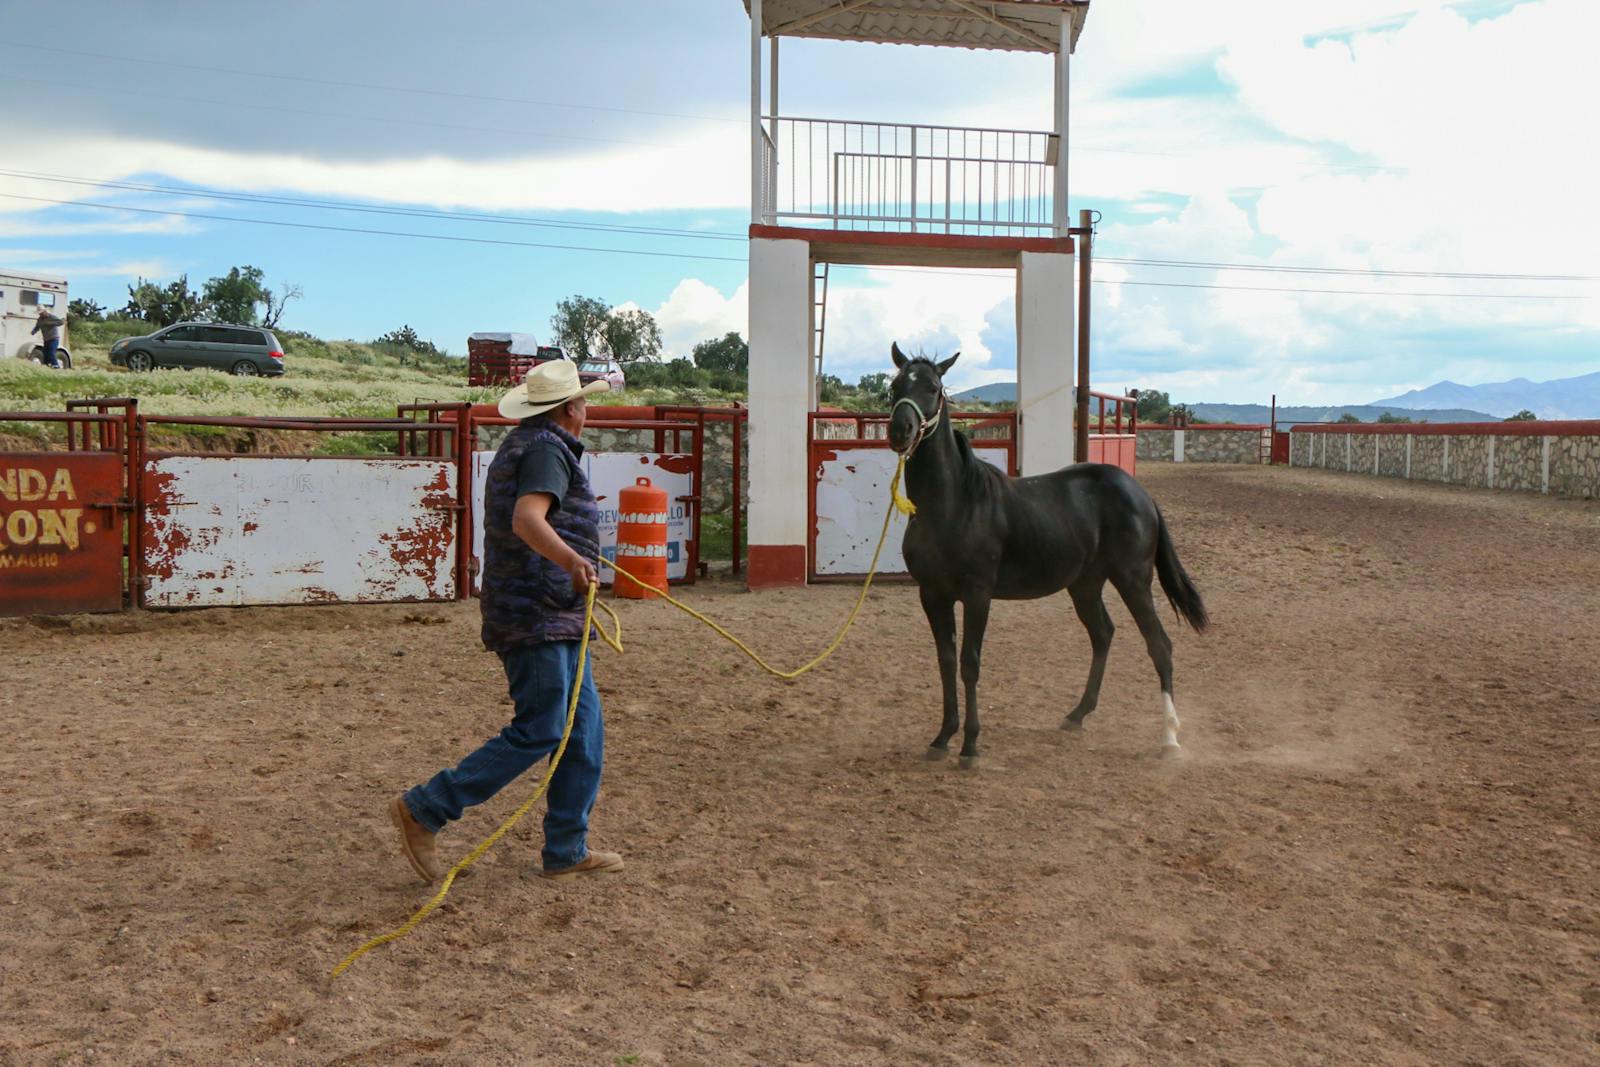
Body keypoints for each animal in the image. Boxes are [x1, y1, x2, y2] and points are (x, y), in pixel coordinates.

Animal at [887, 343, 1209, 768]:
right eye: (895, 386)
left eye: (934, 388)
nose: (900, 430)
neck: (955, 502)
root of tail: (1140, 493)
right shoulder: (933, 595)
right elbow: (946, 661)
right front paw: (942, 738)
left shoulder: (977, 595)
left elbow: (970, 663)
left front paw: (970, 746)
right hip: (1086, 585)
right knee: (1103, 634)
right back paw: (1077, 715)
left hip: (1133, 580)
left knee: (1159, 645)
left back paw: (1169, 738)